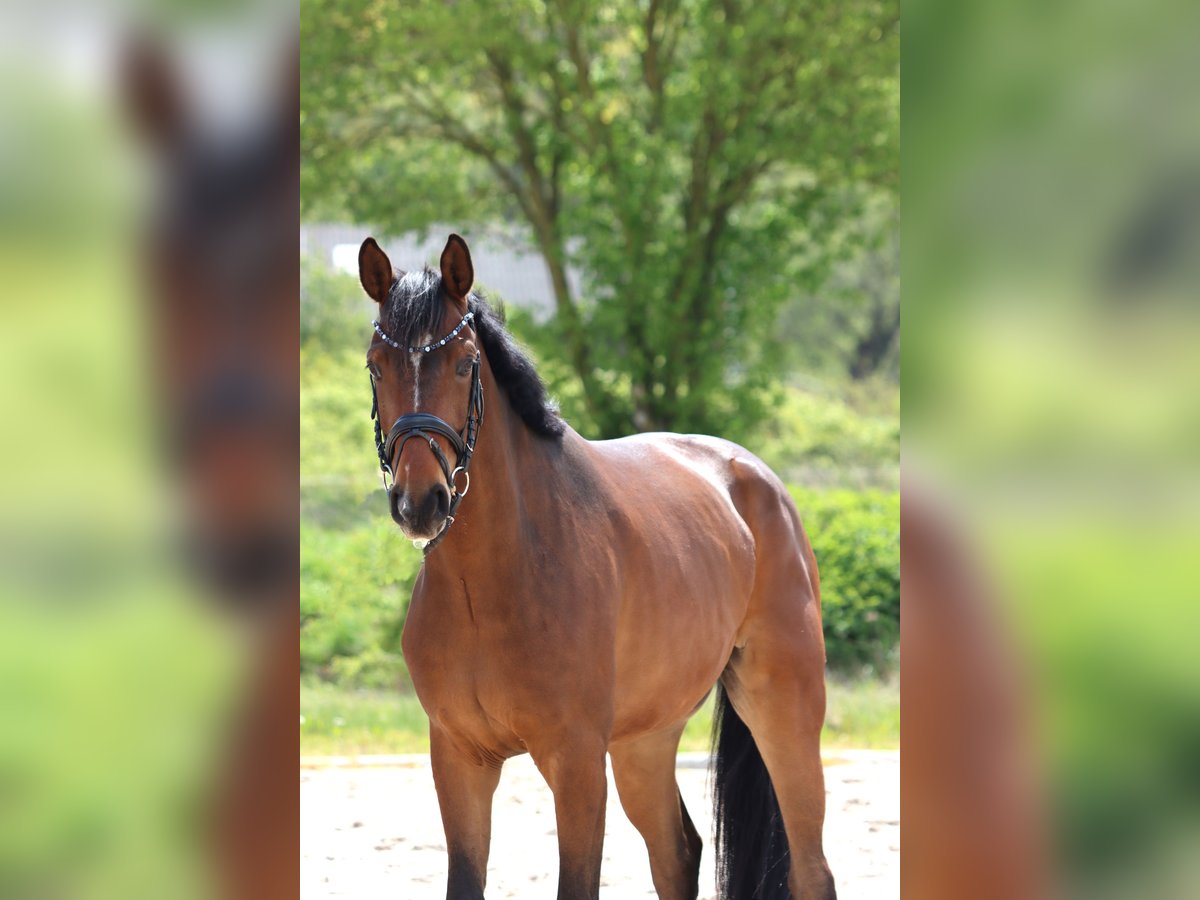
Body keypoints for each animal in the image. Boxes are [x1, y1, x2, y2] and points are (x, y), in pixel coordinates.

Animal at [360, 234, 840, 900]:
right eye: (376, 366)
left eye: (462, 363)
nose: (419, 502)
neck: (493, 582)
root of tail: (758, 480)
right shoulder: (458, 758)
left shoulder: (576, 761)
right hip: (645, 741)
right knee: (677, 853)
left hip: (784, 710)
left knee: (811, 870)